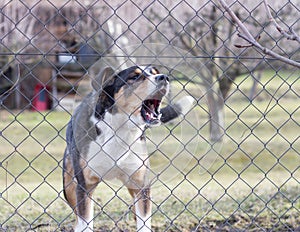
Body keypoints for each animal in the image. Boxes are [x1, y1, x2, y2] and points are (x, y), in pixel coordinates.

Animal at [63, 65, 195, 232]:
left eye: (154, 73)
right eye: (134, 77)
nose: (164, 77)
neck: (120, 131)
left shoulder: (141, 184)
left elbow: (144, 221)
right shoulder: (84, 186)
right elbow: (85, 221)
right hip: (69, 186)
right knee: (77, 217)